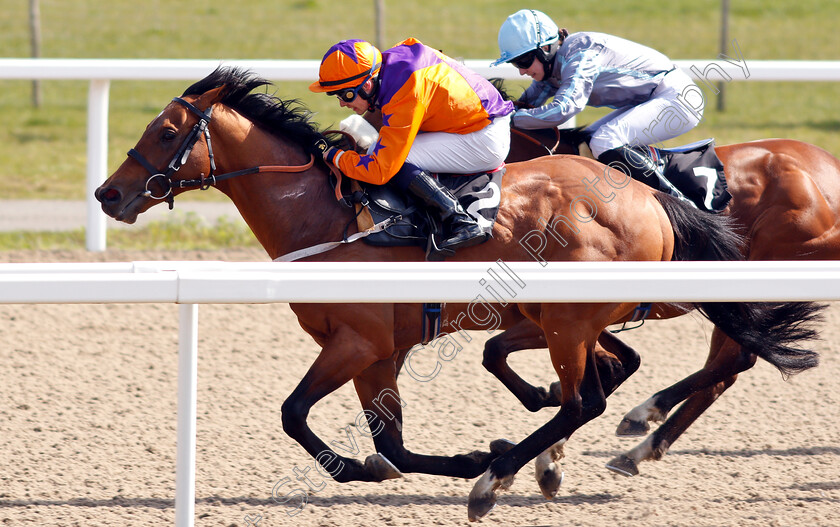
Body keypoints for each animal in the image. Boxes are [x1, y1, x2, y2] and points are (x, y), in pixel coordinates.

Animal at [488, 115, 840, 478]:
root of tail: (830, 168)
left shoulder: (561, 314)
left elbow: (497, 348)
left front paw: (541, 407)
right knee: (725, 372)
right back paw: (635, 451)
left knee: (734, 361)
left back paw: (643, 414)